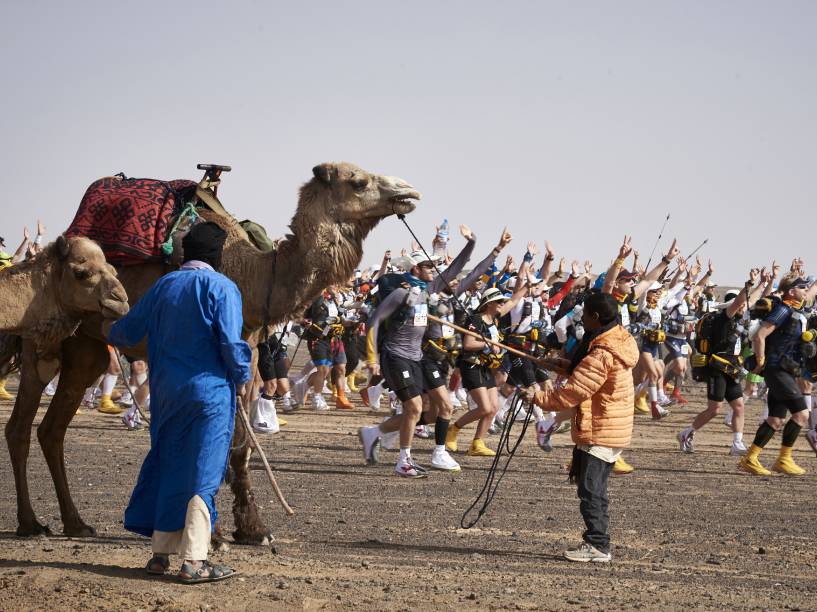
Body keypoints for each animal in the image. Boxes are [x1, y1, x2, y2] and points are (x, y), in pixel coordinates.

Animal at [9, 161, 420, 540]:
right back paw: (30, 524)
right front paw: (211, 531)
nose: (410, 190)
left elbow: (239, 444)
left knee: (52, 428)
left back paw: (75, 522)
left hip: (86, 347)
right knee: (20, 426)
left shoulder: (246, 354)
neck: (251, 275)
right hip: (42, 342)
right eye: (359, 182)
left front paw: (253, 529)